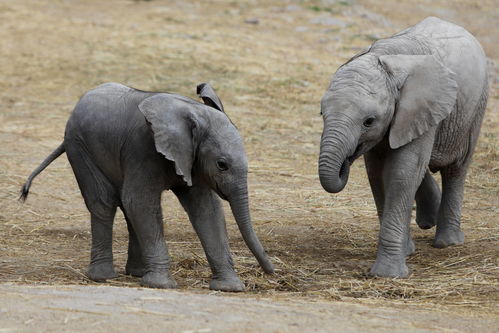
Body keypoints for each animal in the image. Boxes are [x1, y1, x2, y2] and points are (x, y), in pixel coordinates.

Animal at [21, 81, 276, 290]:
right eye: (222, 165)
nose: (272, 272)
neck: (193, 110)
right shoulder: (143, 148)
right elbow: (140, 201)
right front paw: (161, 285)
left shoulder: (192, 160)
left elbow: (206, 210)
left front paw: (230, 288)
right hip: (79, 147)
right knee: (104, 203)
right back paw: (103, 277)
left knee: (125, 207)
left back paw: (136, 273)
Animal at [320, 17, 488, 278]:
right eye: (321, 114)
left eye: (369, 121)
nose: (347, 159)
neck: (385, 60)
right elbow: (378, 174)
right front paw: (406, 251)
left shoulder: (423, 107)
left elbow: (401, 173)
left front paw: (387, 274)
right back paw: (428, 223)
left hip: (474, 110)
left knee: (456, 168)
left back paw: (447, 242)